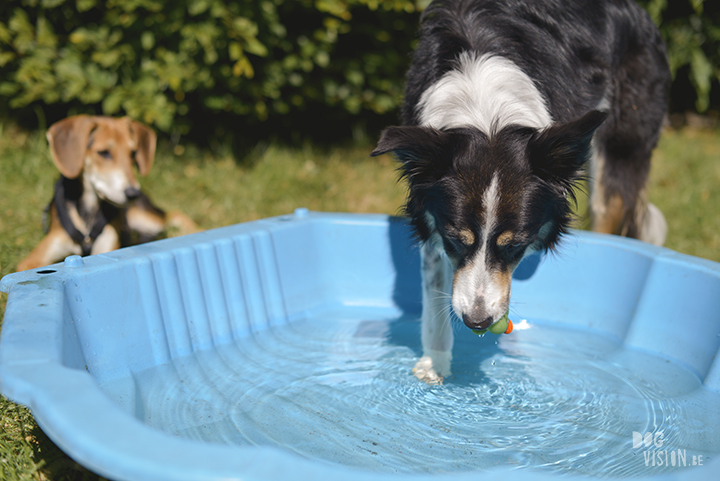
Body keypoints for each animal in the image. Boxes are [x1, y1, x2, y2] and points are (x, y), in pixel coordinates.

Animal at [16, 113, 195, 270]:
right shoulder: (35, 258)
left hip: (145, 217)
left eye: (133, 153)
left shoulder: (106, 249)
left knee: (173, 214)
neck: (89, 211)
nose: (133, 193)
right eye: (104, 153)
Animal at [374, 0, 672, 382]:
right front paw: (436, 363)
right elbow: (435, 287)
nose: (477, 321)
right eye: (455, 240)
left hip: (622, 141)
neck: (486, 114)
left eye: (514, 244)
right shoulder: (432, 214)